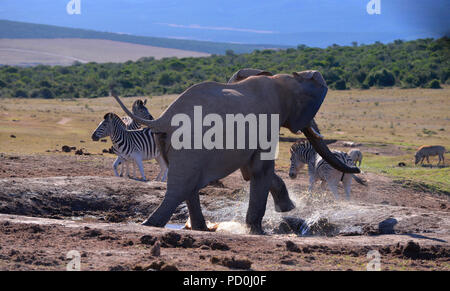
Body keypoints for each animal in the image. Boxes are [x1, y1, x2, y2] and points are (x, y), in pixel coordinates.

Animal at [113, 70, 362, 235]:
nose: (357, 169)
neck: (281, 78)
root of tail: (163, 118)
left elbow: (253, 171)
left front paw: (287, 209)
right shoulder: (268, 121)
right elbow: (260, 169)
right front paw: (258, 230)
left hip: (168, 143)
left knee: (188, 186)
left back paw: (200, 229)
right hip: (189, 146)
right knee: (181, 187)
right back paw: (150, 225)